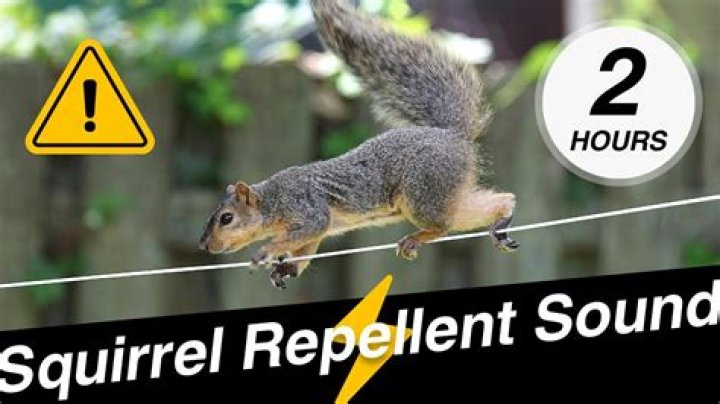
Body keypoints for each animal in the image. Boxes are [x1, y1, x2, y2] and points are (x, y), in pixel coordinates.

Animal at [199, 0, 519, 289]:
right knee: (495, 202)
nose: (204, 245)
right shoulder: (319, 226)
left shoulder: (308, 209)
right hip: (441, 191)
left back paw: (417, 238)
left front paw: (265, 252)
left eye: (226, 218)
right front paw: (286, 269)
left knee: (444, 225)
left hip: (423, 192)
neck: (272, 200)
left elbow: (302, 233)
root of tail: (452, 135)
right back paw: (502, 220)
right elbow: (305, 249)